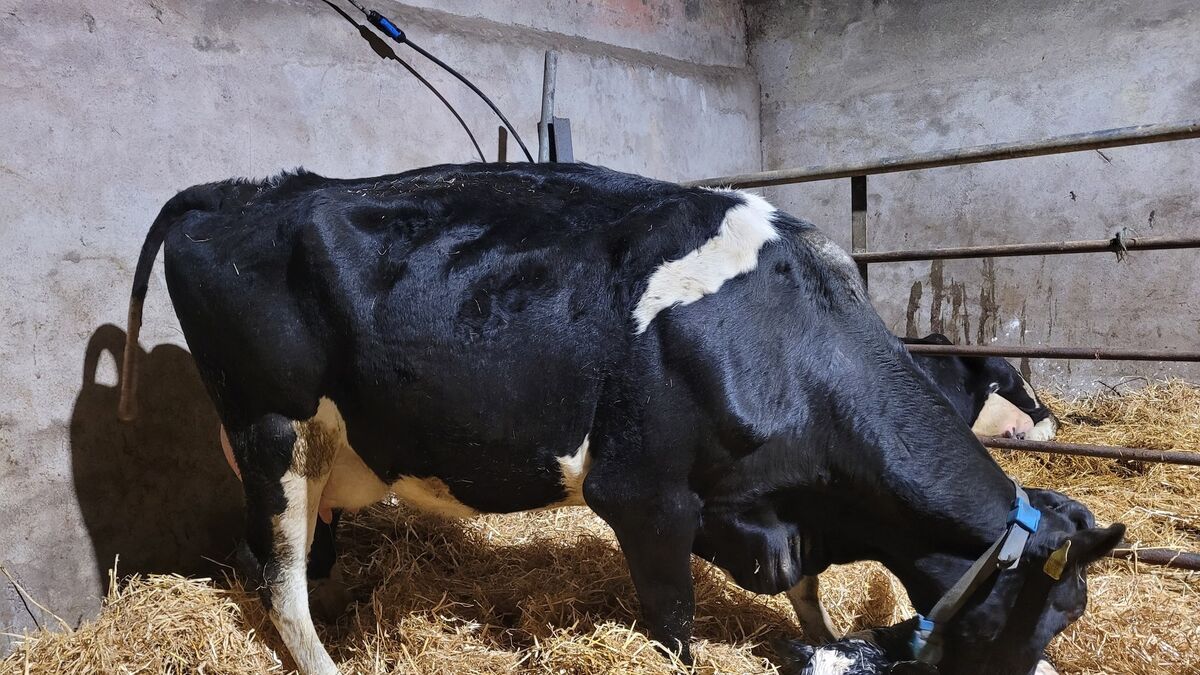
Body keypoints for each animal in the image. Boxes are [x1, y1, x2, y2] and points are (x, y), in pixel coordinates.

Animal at [117, 163, 1122, 675]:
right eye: (1042, 618)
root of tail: (243, 187)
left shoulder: (769, 510)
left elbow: (804, 593)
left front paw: (830, 641)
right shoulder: (646, 496)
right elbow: (672, 625)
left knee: (278, 566)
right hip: (270, 431)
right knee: (279, 582)